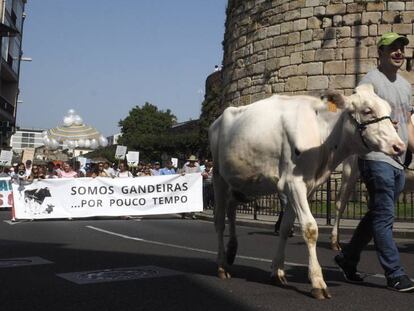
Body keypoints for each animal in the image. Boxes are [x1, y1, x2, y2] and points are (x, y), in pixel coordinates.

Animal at [209, 84, 402, 302]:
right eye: (367, 110)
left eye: (388, 109)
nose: (399, 146)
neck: (323, 136)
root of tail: (218, 119)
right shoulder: (294, 183)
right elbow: (310, 229)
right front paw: (318, 282)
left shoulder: (306, 187)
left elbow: (286, 228)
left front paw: (277, 272)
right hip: (218, 177)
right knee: (219, 220)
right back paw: (222, 265)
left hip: (241, 183)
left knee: (231, 209)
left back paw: (232, 251)